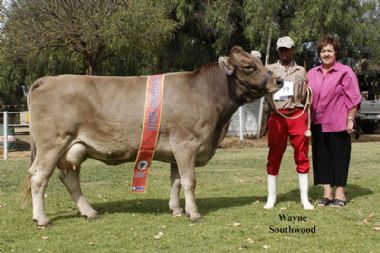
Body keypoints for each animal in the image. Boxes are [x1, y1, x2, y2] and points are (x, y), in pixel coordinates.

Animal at [20, 46, 282, 227]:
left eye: (260, 61)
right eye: (248, 66)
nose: (278, 80)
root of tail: (48, 79)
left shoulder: (177, 151)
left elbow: (176, 181)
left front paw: (177, 210)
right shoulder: (186, 145)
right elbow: (189, 181)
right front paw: (194, 213)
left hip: (75, 147)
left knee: (69, 177)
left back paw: (88, 212)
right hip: (52, 144)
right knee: (38, 177)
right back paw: (42, 219)